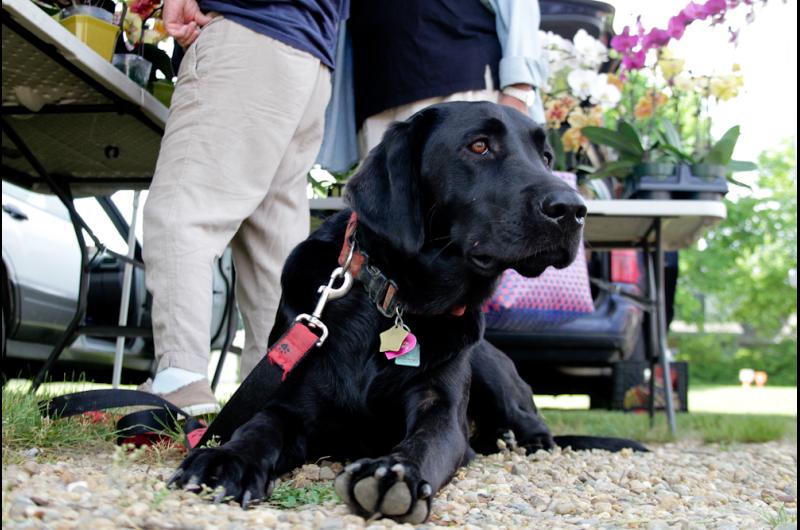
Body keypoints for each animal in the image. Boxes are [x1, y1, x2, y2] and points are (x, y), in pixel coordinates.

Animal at [170, 101, 644, 520]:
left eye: (545, 157)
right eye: (479, 146)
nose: (574, 209)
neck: (397, 300)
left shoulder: (442, 412)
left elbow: (426, 442)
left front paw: (395, 473)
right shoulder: (292, 403)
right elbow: (260, 427)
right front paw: (225, 458)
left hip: (486, 365)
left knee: (538, 430)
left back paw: (513, 440)